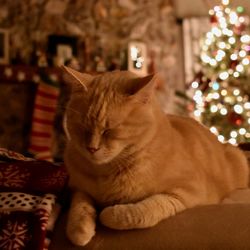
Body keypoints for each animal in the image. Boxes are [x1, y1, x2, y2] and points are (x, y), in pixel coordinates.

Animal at [62, 65, 248, 247]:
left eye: (109, 130)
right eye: (82, 127)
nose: (91, 148)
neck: (106, 172)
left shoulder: (186, 192)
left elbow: (139, 212)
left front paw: (108, 213)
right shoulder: (76, 188)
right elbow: (79, 206)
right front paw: (79, 230)